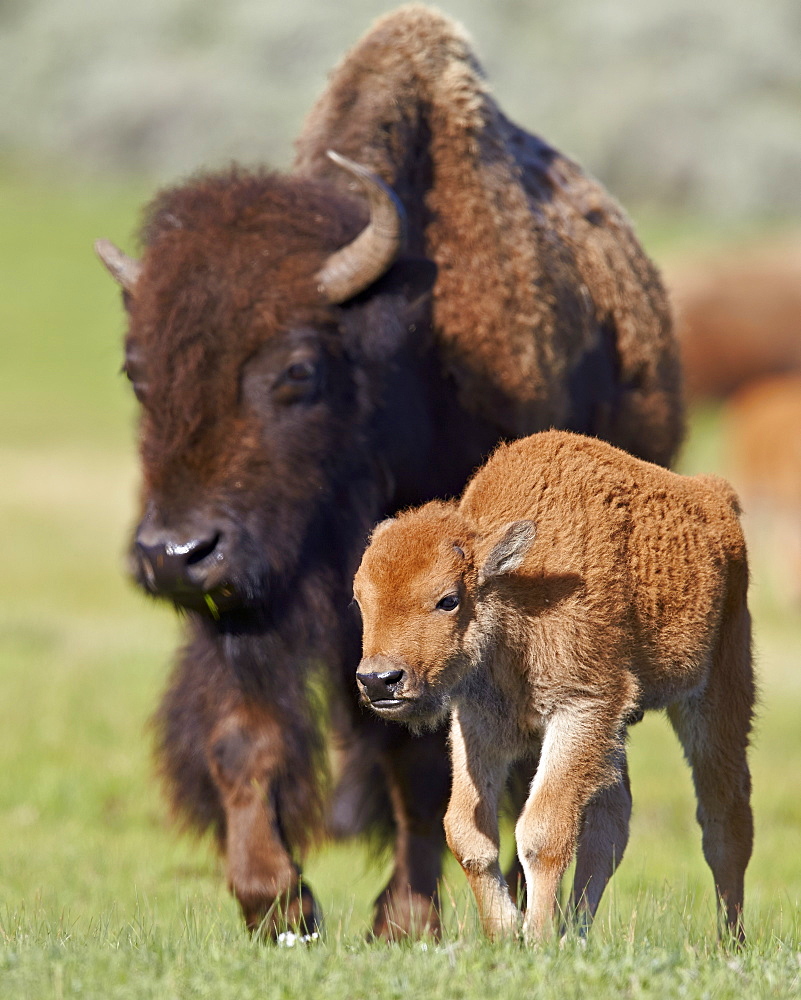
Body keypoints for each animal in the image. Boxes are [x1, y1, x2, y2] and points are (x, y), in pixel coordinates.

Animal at [94, 3, 680, 940]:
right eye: (136, 371)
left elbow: (424, 764)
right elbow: (243, 735)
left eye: (298, 371)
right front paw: (277, 902)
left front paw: (403, 921)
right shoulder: (254, 607)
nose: (174, 554)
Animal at [354, 432, 752, 944]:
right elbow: (467, 831)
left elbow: (542, 831)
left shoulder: (581, 709)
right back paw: (576, 932)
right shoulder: (478, 725)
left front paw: (536, 937)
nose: (379, 680)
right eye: (359, 598)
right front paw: (506, 932)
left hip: (718, 691)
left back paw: (729, 941)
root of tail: (716, 497)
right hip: (616, 735)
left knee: (725, 819)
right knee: (611, 826)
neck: (515, 588)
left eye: (448, 600)